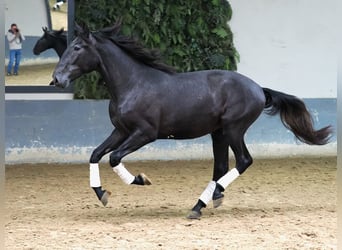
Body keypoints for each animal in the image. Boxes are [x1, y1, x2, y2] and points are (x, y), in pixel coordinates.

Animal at [50, 20, 332, 219]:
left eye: (77, 48)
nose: (56, 80)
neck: (132, 84)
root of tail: (259, 89)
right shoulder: (120, 131)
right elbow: (96, 154)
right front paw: (102, 195)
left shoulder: (144, 133)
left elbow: (114, 157)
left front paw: (141, 179)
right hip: (218, 133)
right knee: (220, 167)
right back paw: (201, 205)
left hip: (233, 129)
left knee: (243, 160)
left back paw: (211, 198)